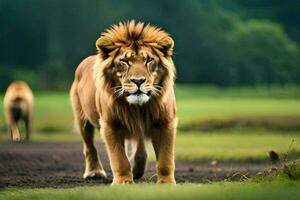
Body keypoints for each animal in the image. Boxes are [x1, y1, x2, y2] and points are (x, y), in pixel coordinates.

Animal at [70, 20, 177, 184]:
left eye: (149, 60)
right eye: (125, 61)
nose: (138, 81)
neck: (138, 107)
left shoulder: (165, 122)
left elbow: (165, 159)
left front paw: (166, 183)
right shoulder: (110, 124)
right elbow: (119, 158)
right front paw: (123, 182)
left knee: (139, 148)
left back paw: (137, 170)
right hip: (83, 119)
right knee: (89, 146)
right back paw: (94, 172)